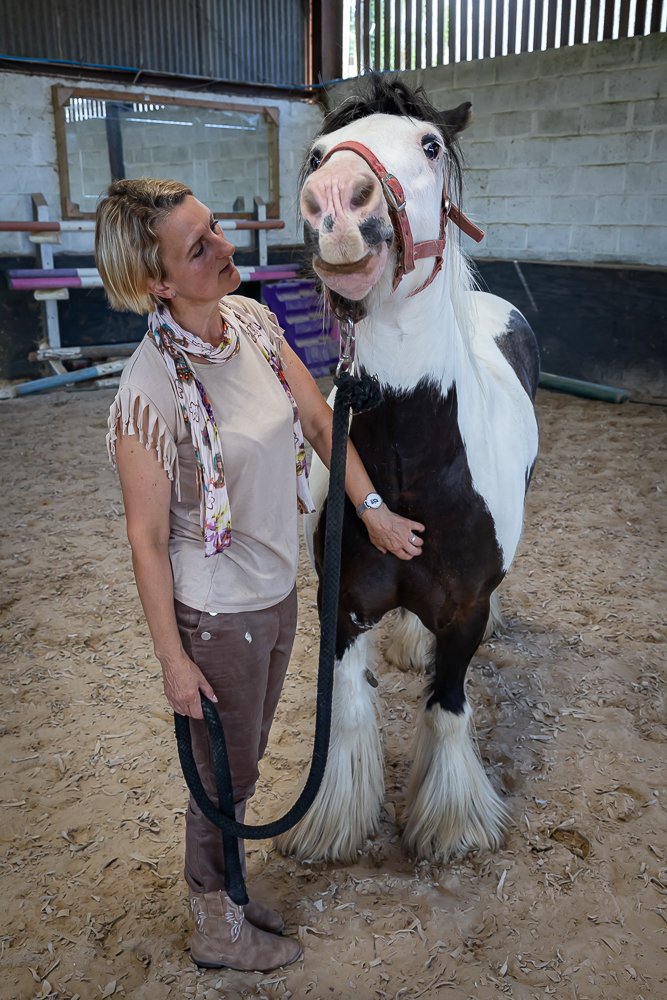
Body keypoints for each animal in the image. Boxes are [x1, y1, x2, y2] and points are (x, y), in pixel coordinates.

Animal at [277, 76, 540, 865]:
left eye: (427, 145)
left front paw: (450, 824)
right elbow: (346, 712)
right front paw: (330, 821)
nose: (337, 202)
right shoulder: (341, 604)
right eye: (317, 153)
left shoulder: (465, 610)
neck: (408, 468)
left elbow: (449, 708)